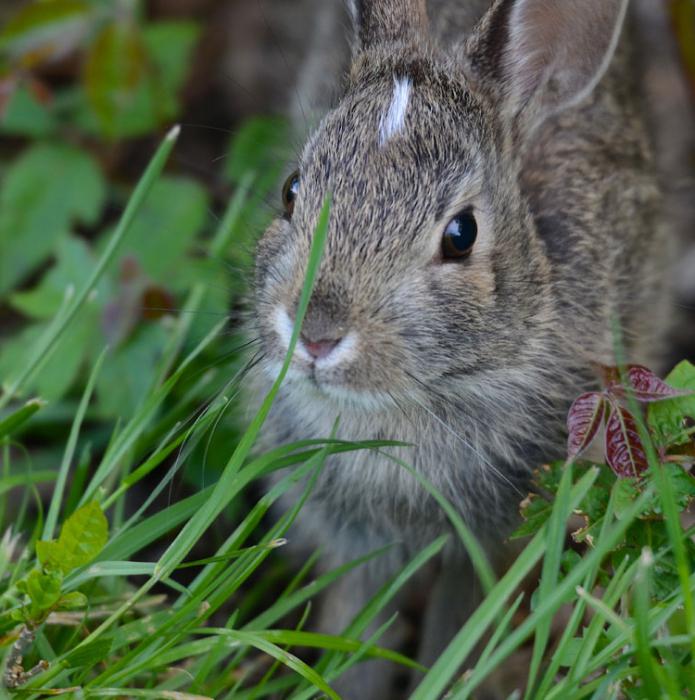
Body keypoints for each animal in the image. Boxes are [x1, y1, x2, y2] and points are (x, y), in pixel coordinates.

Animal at [249, 1, 676, 696]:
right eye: (290, 190)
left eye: (461, 234)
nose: (315, 334)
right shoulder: (357, 541)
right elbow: (359, 631)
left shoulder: (491, 543)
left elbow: (462, 631)